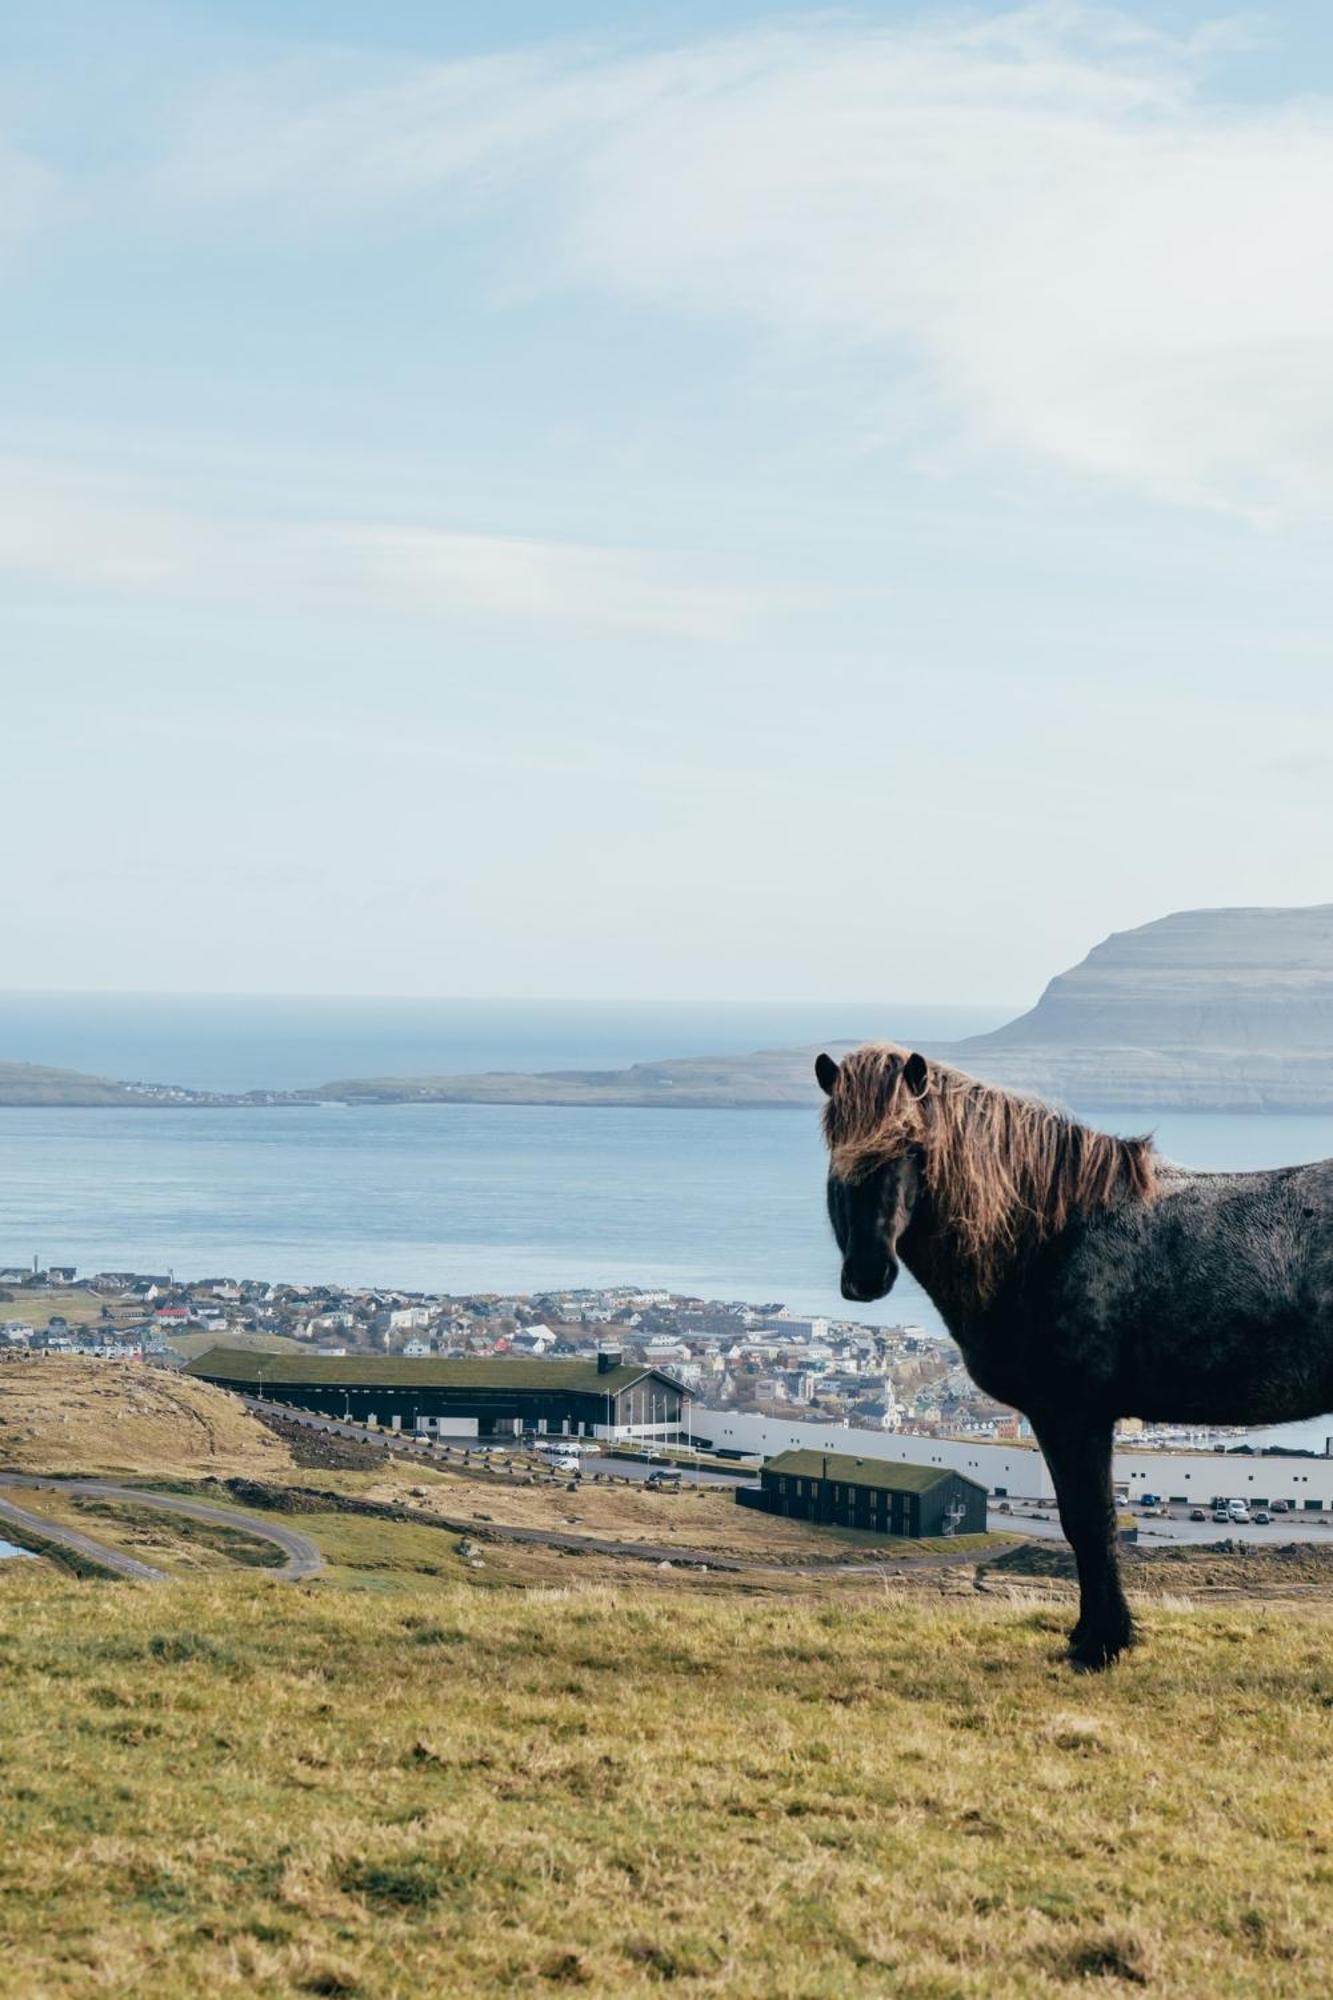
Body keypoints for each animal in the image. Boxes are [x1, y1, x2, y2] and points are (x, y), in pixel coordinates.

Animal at [808, 1048, 1328, 1672]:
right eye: (837, 1144)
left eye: (911, 1146)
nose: (867, 1274)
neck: (1045, 1235)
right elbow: (1082, 1524)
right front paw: (1091, 1633)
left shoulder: (1073, 1414)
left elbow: (1090, 1523)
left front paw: (1101, 1643)